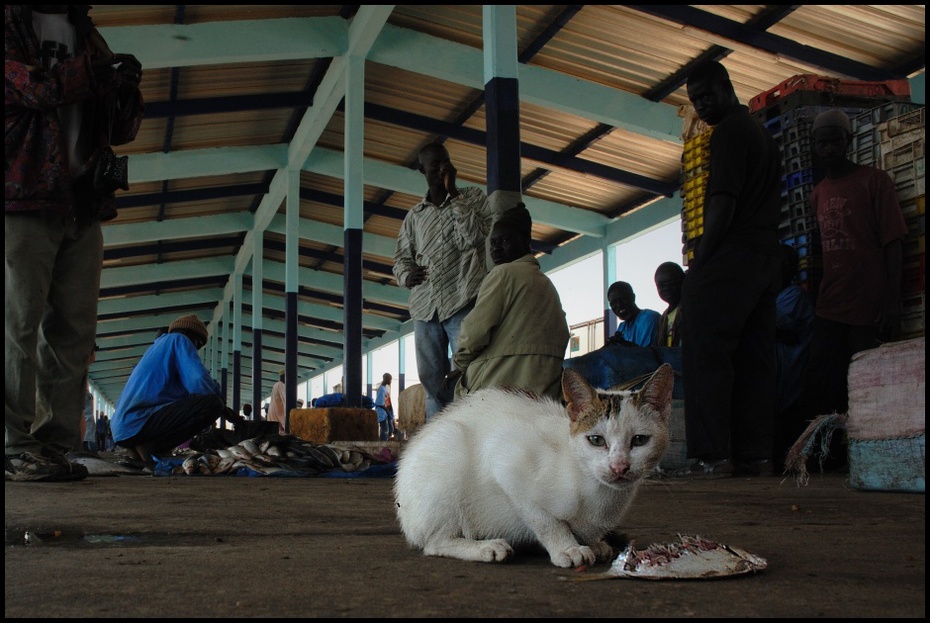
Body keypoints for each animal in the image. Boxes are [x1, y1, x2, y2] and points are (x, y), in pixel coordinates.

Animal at [388, 364, 672, 568]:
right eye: (596, 440)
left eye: (640, 440)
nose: (619, 467)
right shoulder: (507, 460)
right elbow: (545, 520)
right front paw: (568, 548)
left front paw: (595, 543)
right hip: (448, 452)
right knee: (434, 543)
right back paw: (485, 547)